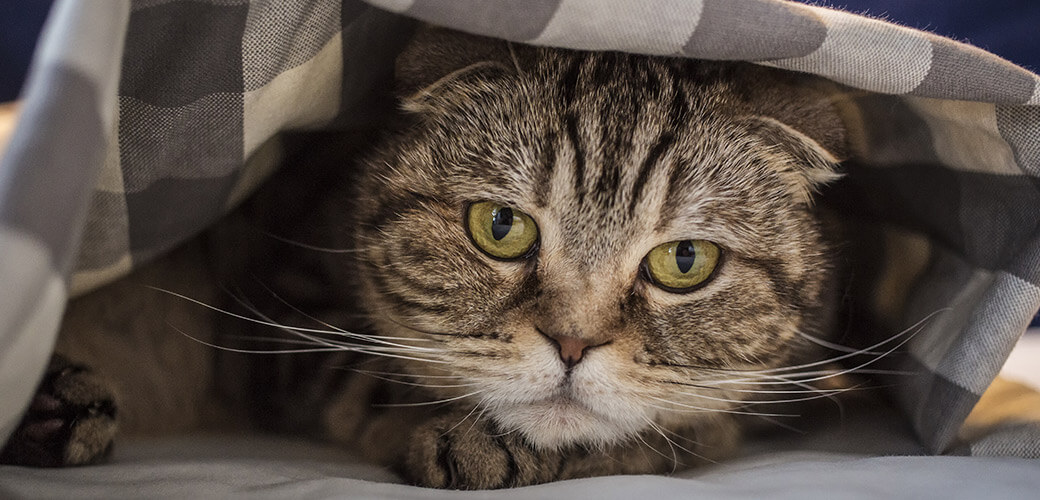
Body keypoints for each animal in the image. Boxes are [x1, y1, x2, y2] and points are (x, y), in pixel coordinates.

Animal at [0, 26, 844, 486]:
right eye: (500, 226)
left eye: (685, 261)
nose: (573, 343)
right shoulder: (281, 308)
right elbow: (366, 379)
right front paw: (473, 440)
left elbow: (680, 429)